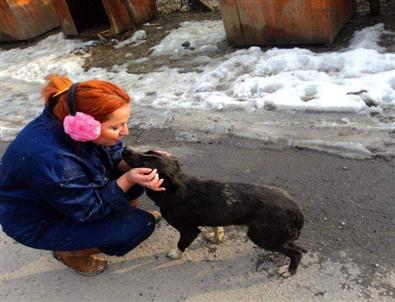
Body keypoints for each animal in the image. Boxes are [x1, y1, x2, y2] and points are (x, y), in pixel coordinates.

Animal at [122, 147, 308, 276]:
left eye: (145, 164)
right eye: (146, 151)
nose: (125, 149)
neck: (173, 190)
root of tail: (295, 209)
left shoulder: (189, 231)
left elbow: (181, 243)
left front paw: (176, 254)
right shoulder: (214, 216)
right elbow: (216, 226)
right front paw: (217, 237)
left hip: (261, 235)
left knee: (296, 252)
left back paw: (289, 270)